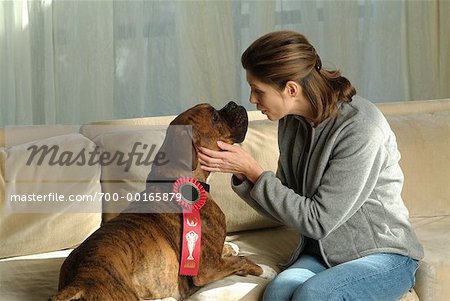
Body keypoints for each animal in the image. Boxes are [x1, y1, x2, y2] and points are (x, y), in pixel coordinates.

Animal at [49, 101, 274, 300]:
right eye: (215, 117)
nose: (233, 103)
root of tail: (79, 282)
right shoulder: (208, 269)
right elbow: (241, 261)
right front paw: (266, 270)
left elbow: (229, 252)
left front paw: (231, 246)